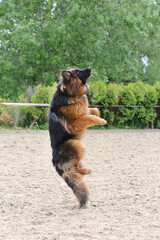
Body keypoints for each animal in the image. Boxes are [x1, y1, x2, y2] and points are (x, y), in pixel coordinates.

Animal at [48, 66, 107, 207]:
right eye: (78, 71)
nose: (90, 67)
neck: (71, 94)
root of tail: (55, 162)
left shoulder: (84, 109)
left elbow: (92, 111)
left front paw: (97, 114)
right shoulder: (74, 123)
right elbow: (88, 116)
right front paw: (101, 120)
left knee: (76, 168)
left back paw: (85, 170)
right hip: (75, 143)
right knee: (75, 169)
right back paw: (85, 171)